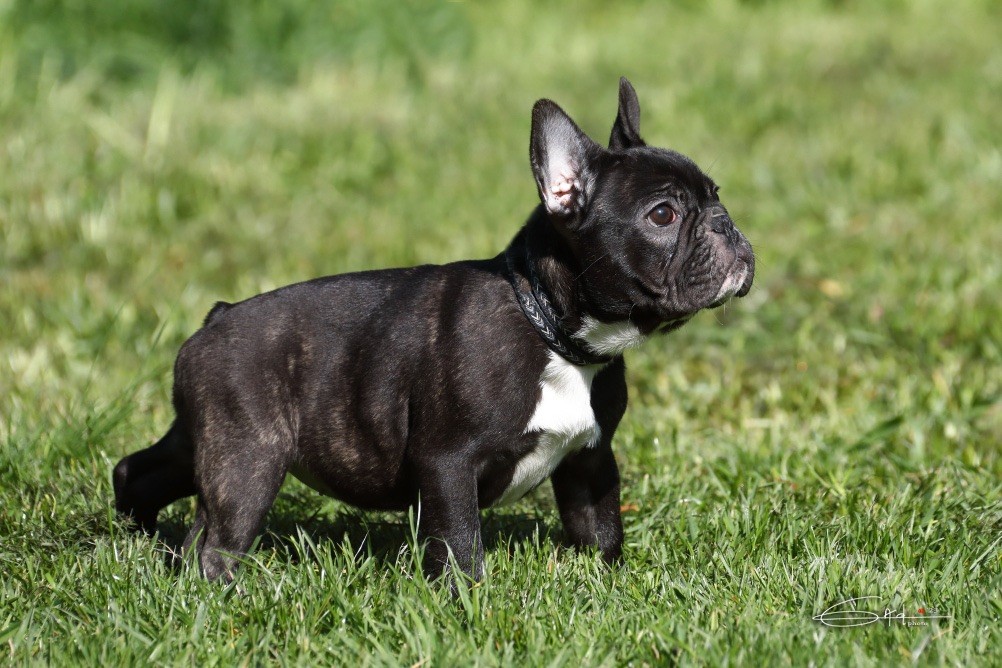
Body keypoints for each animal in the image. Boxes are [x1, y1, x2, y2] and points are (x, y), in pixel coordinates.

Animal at [113, 78, 755, 581]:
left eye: (717, 197)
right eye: (663, 215)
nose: (727, 226)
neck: (550, 329)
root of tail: (217, 316)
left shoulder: (590, 457)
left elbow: (598, 526)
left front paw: (609, 582)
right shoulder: (448, 464)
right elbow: (461, 543)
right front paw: (468, 604)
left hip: (204, 436)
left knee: (142, 471)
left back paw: (135, 534)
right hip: (247, 456)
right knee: (215, 540)